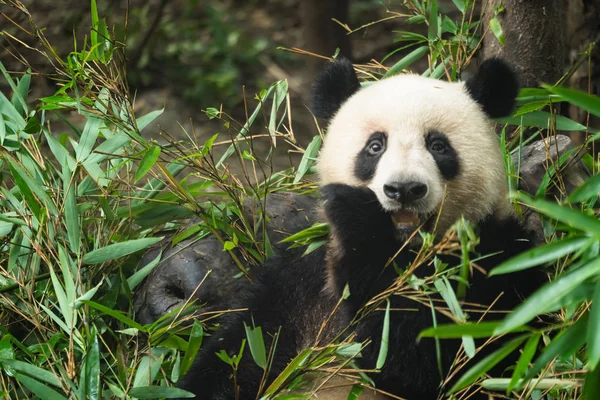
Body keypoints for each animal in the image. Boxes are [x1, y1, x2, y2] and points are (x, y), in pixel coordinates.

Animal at [176, 58, 548, 400]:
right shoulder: (300, 273)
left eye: (438, 146)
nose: (404, 189)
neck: (406, 248)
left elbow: (439, 361)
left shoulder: (495, 262)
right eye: (375, 146)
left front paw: (361, 220)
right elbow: (246, 351)